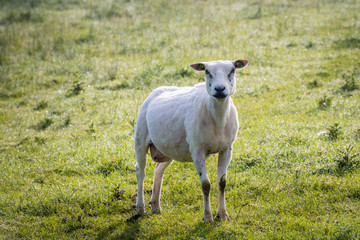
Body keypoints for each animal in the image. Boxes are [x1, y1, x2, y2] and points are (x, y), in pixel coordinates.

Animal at [134, 58, 249, 223]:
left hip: (167, 148)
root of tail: (155, 92)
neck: (218, 119)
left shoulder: (227, 148)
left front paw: (223, 215)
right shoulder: (197, 149)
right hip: (140, 138)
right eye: (207, 71)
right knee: (140, 171)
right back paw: (140, 209)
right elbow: (206, 184)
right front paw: (207, 217)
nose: (219, 89)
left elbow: (222, 183)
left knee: (158, 170)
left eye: (232, 70)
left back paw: (156, 206)